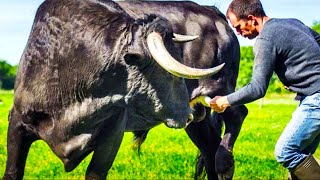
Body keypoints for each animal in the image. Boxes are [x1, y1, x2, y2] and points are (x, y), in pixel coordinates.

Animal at [117, 1, 248, 179]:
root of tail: (211, 10)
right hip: (197, 114)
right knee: (210, 149)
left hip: (217, 86)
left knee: (237, 113)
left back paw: (225, 165)